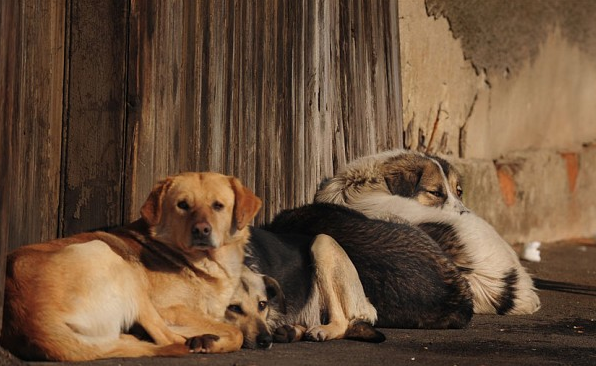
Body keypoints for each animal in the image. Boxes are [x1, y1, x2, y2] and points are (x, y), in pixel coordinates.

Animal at [0, 173, 260, 362]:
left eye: (218, 206)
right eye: (183, 205)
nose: (201, 230)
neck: (201, 262)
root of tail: (36, 323)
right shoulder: (168, 309)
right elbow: (235, 332)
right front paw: (212, 340)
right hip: (112, 258)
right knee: (168, 339)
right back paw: (199, 341)